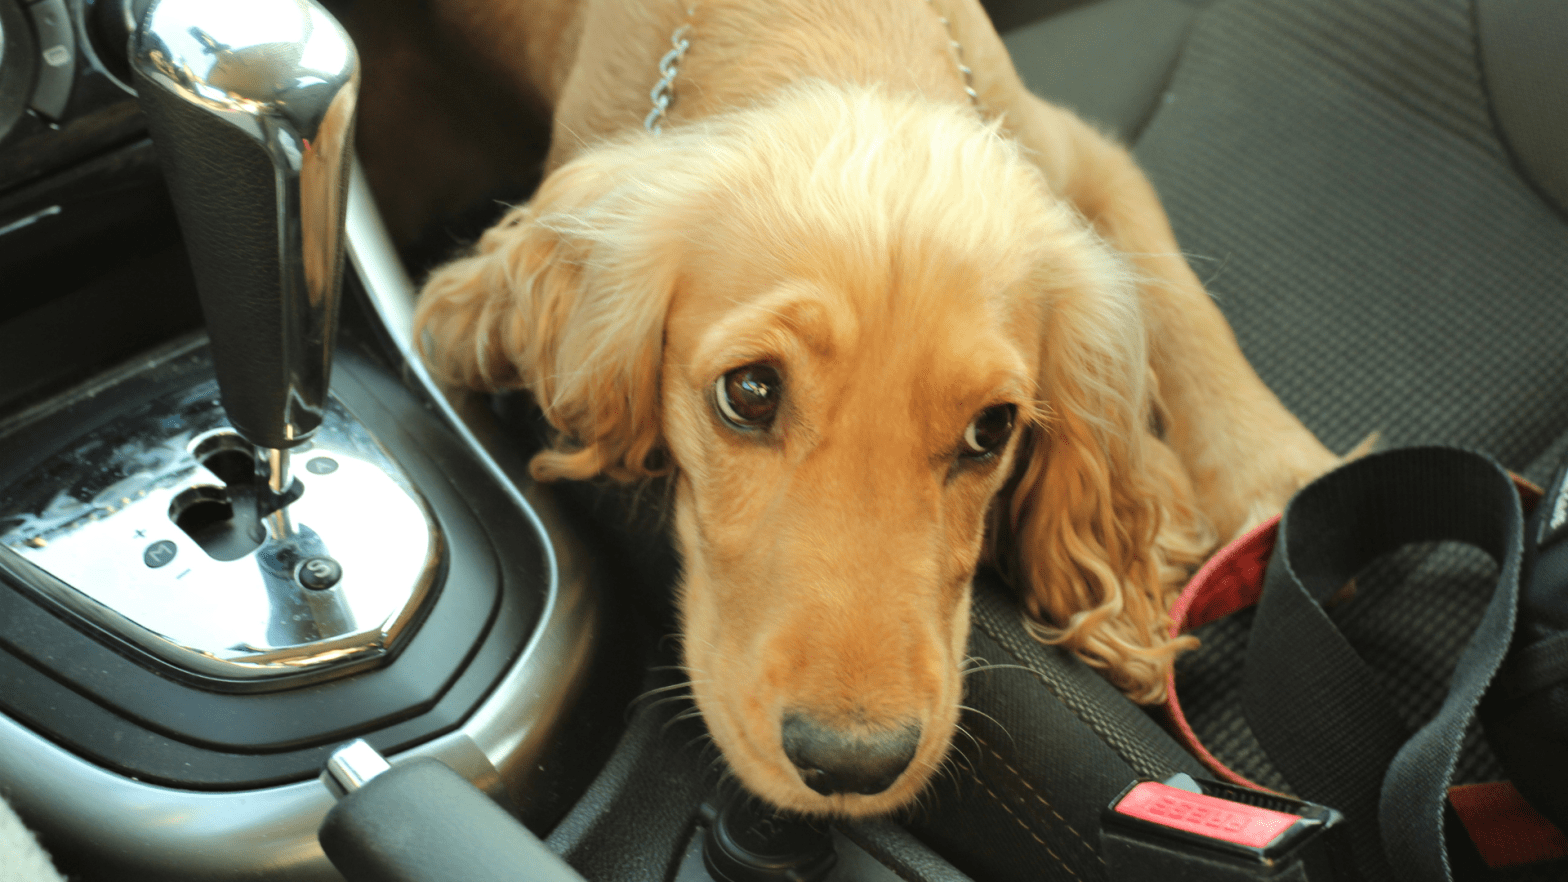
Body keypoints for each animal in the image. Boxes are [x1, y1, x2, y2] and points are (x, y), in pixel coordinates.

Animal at [404, 0, 1335, 816]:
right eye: (748, 392)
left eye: (992, 429)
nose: (852, 766)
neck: (830, 31)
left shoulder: (1076, 150)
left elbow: (1181, 299)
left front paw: (1280, 479)